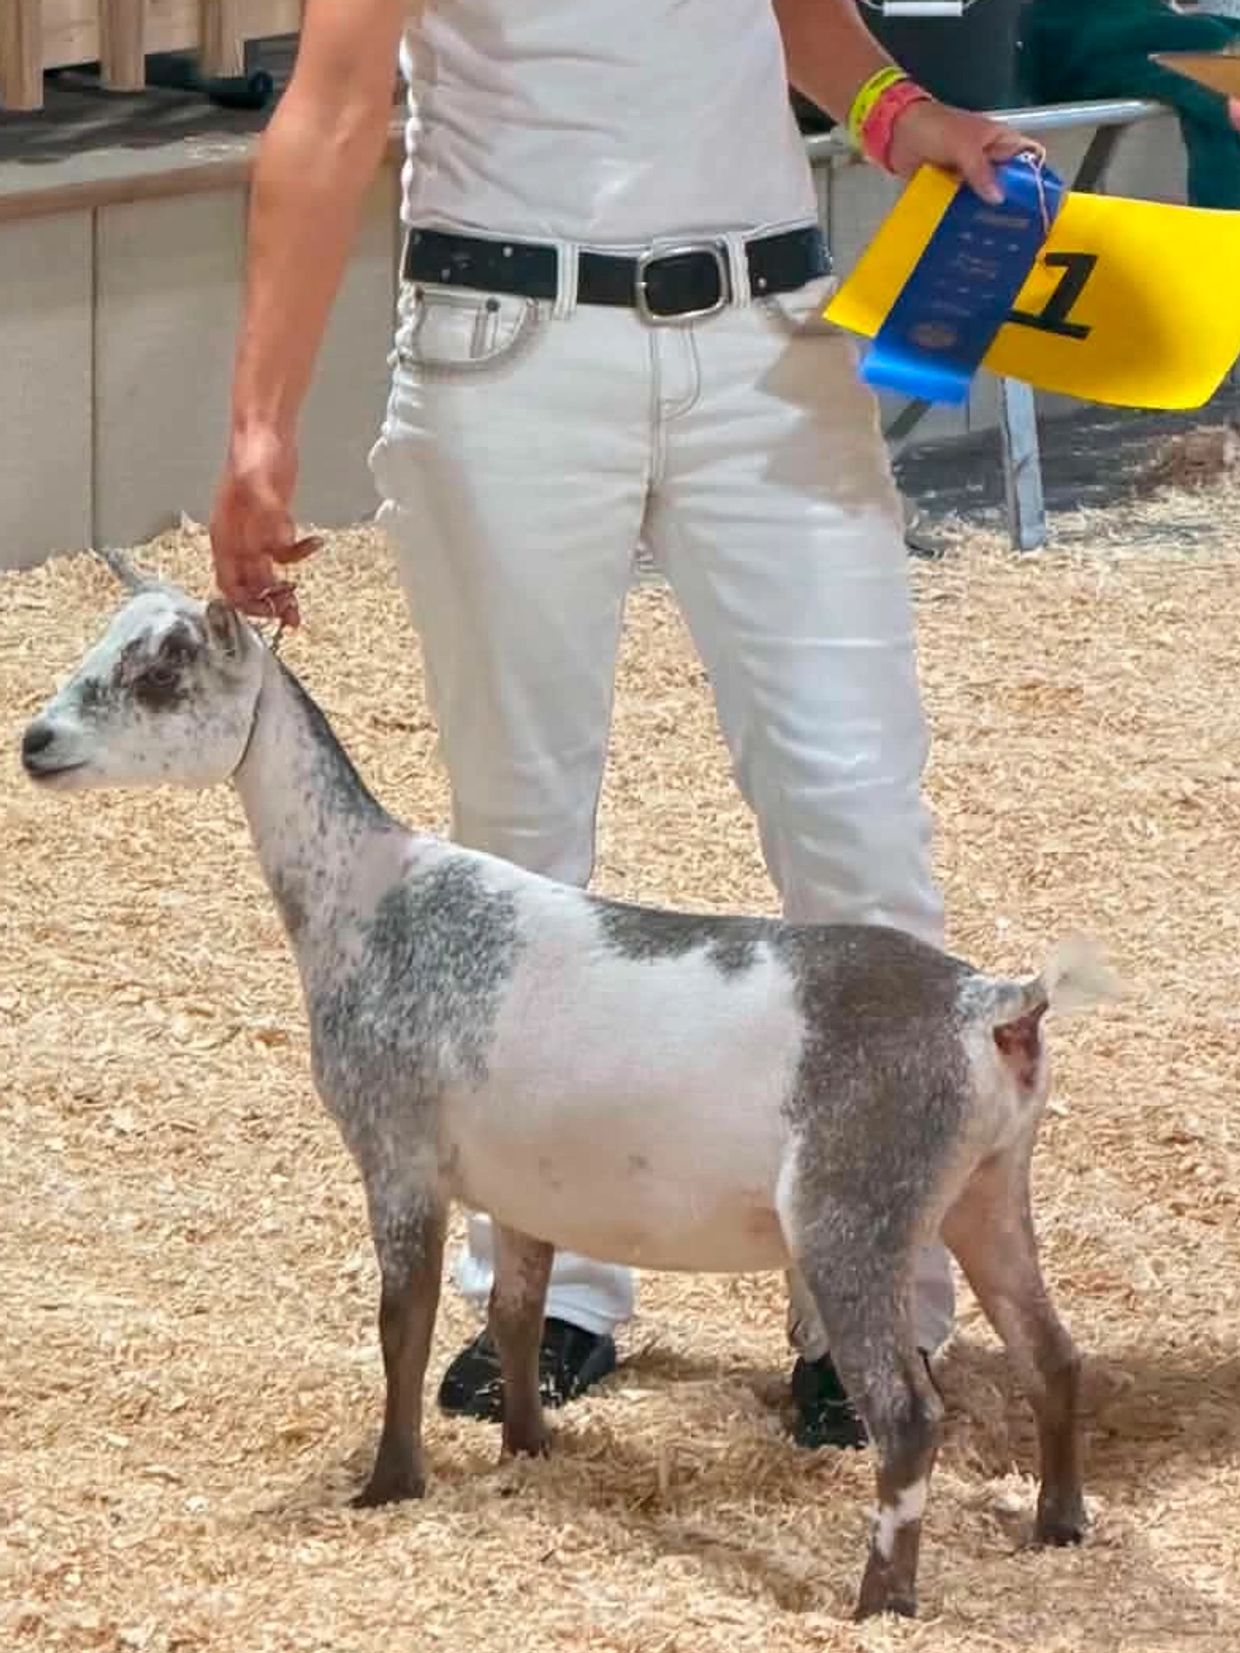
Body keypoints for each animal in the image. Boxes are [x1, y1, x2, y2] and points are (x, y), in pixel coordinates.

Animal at [20, 564, 1117, 1620]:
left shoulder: (397, 1157)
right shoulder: (524, 1187)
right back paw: (1059, 1523)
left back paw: (879, 1600)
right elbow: (515, 1311)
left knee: (908, 1418)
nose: (36, 742)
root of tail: (990, 1002)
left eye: (159, 673)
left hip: (853, 1217)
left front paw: (389, 1482)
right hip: (986, 1193)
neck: (371, 894)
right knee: (1053, 1355)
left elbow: (401, 1322)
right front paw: (525, 1445)